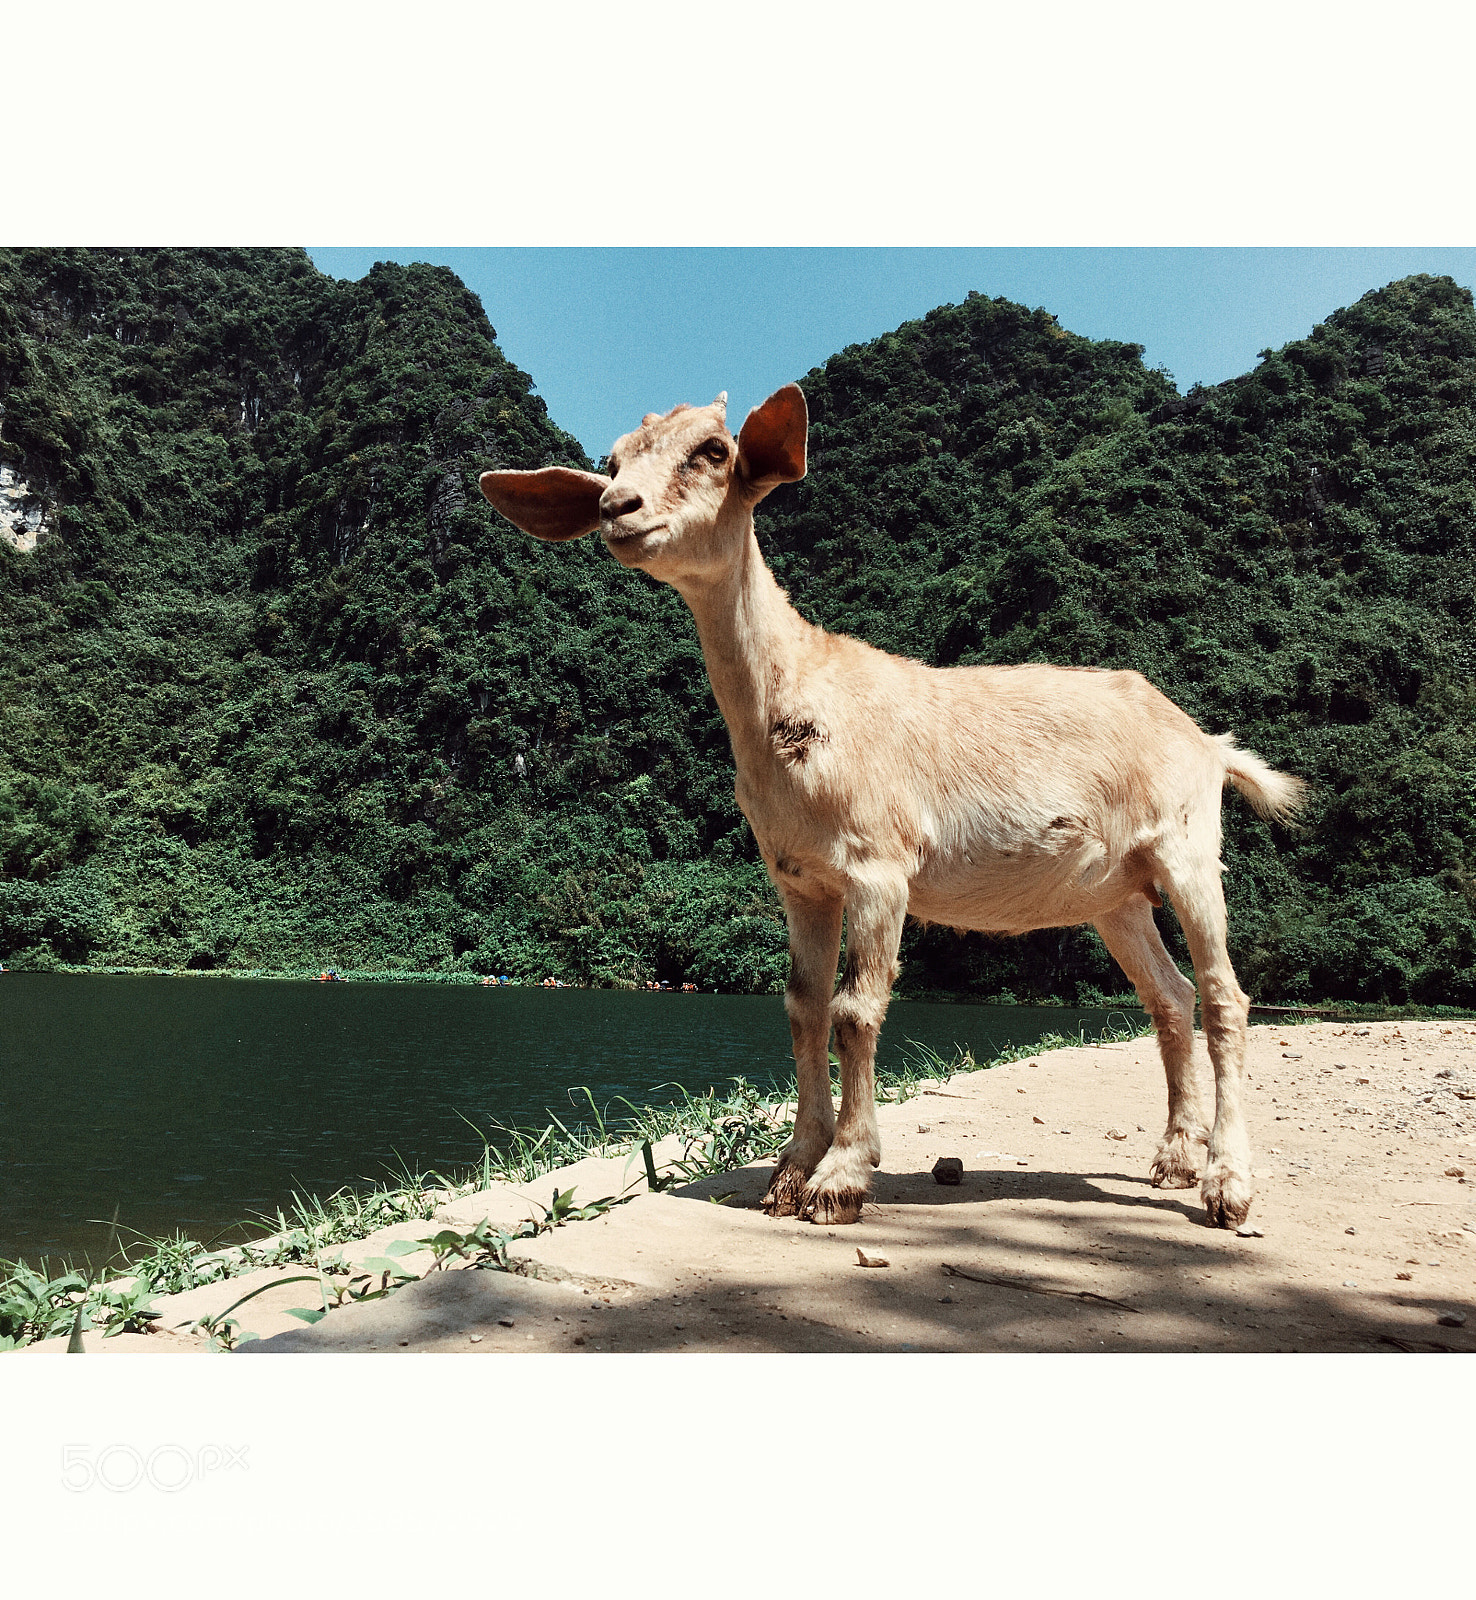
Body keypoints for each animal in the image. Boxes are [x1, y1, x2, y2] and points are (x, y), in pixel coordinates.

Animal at [480, 383, 1308, 1229]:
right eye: (612, 462)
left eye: (713, 451)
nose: (617, 508)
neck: (800, 695)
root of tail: (1207, 741)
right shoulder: (801, 879)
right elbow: (804, 1007)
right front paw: (791, 1170)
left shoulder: (879, 866)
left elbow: (855, 1009)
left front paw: (842, 1176)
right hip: (1115, 894)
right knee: (1170, 998)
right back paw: (1174, 1160)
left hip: (1187, 847)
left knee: (1225, 997)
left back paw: (1227, 1184)